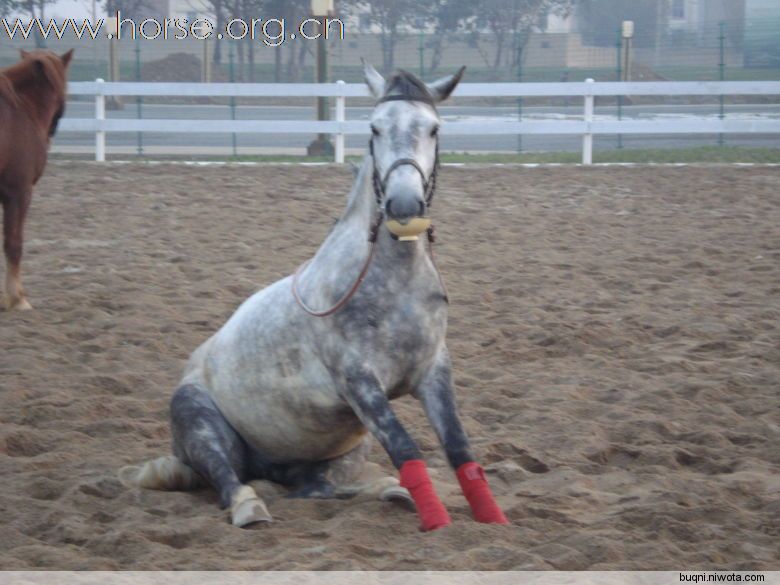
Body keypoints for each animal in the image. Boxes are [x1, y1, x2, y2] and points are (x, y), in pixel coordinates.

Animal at [120, 62, 506, 528]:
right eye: (374, 128)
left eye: (433, 128)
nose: (403, 204)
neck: (391, 285)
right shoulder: (360, 385)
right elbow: (405, 447)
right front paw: (436, 522)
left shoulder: (433, 372)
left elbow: (460, 449)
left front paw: (492, 518)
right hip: (200, 423)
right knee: (230, 479)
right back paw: (251, 506)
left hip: (345, 447)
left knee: (317, 488)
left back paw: (389, 492)